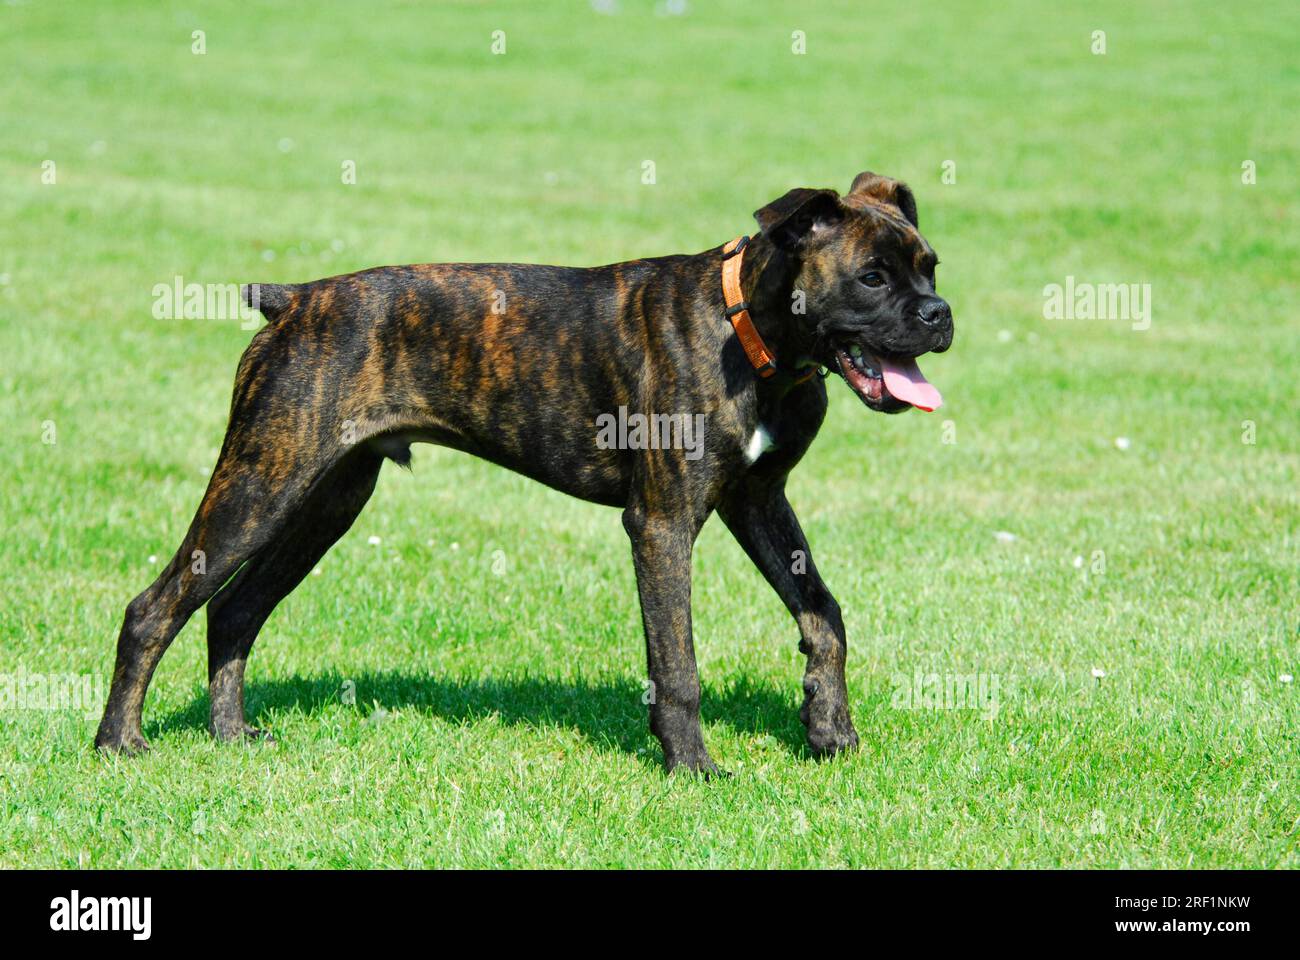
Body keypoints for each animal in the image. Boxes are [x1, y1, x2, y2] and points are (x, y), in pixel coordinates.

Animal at [96, 170, 951, 770]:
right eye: (873, 277)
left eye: (931, 267)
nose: (940, 315)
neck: (749, 330)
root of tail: (297, 299)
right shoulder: (663, 523)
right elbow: (677, 660)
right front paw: (692, 767)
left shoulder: (759, 501)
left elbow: (823, 615)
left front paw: (829, 729)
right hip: (261, 486)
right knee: (155, 606)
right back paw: (120, 744)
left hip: (325, 500)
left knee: (233, 611)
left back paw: (231, 737)